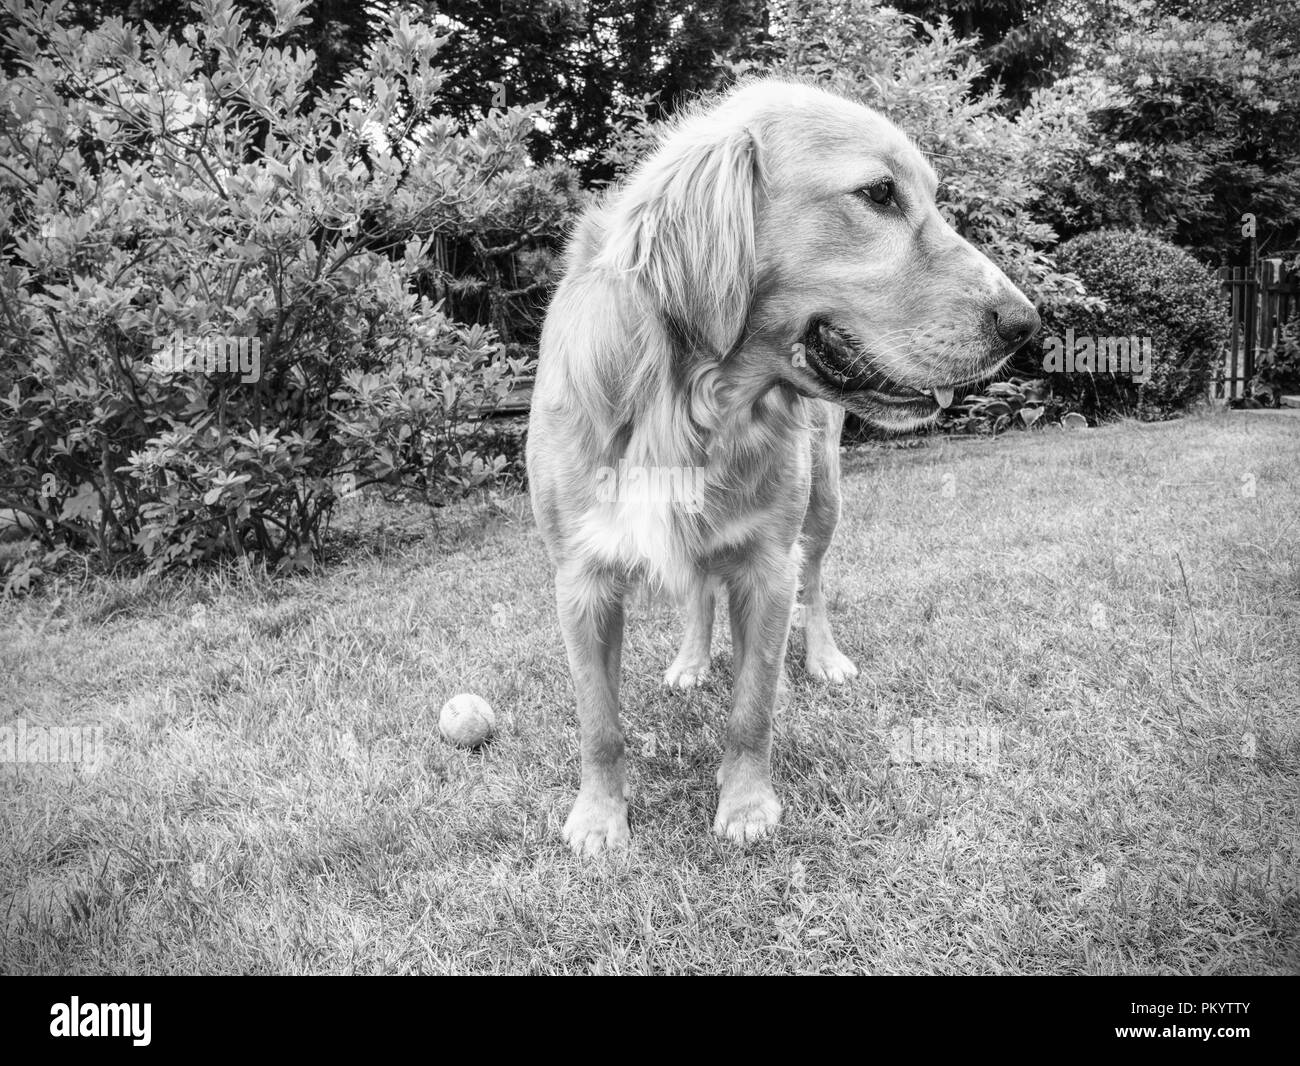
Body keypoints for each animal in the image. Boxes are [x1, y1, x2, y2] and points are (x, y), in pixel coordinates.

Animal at [522, 78, 1040, 852]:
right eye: (879, 193)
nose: (1026, 323)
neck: (687, 407)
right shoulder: (581, 578)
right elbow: (598, 722)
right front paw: (599, 817)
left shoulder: (768, 565)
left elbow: (752, 705)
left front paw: (745, 806)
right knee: (699, 593)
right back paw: (691, 661)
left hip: (822, 505)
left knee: (815, 582)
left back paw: (822, 658)